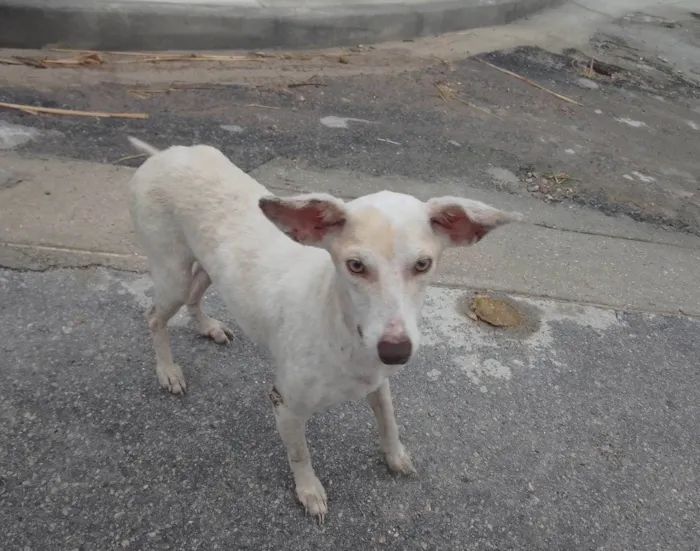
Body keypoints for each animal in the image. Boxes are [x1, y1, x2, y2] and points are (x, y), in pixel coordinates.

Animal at [126, 138, 524, 520]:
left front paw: (395, 456)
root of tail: (164, 154)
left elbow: (389, 422)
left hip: (208, 268)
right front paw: (309, 491)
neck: (342, 332)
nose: (395, 351)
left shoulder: (378, 383)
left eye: (423, 264)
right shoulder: (284, 404)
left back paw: (207, 327)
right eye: (356, 265)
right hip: (172, 274)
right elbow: (300, 455)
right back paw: (168, 371)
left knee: (195, 294)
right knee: (154, 316)